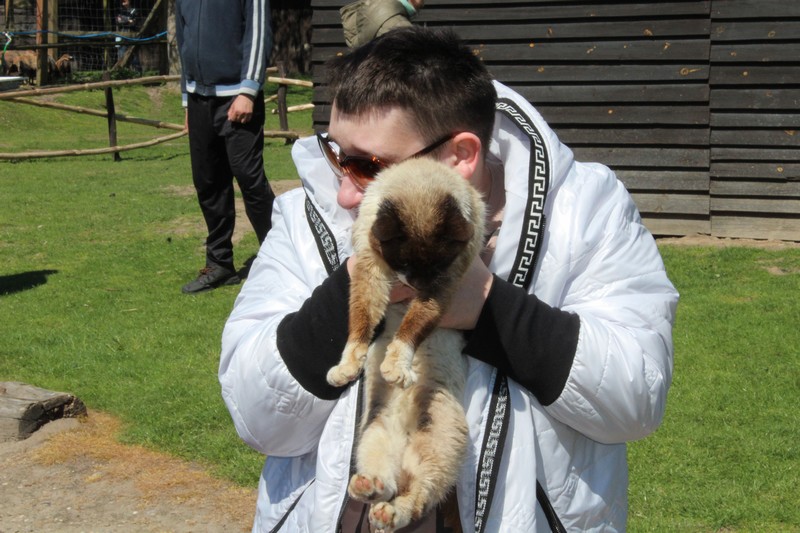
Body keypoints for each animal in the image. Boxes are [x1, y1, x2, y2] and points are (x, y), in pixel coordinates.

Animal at [327, 157, 487, 532]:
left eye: (436, 264)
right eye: (404, 263)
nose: (417, 284)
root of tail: (402, 434)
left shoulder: (443, 287)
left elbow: (411, 327)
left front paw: (396, 367)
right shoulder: (369, 271)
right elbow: (360, 321)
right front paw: (347, 368)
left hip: (435, 444)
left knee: (415, 496)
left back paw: (387, 513)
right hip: (373, 436)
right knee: (388, 483)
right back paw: (368, 488)